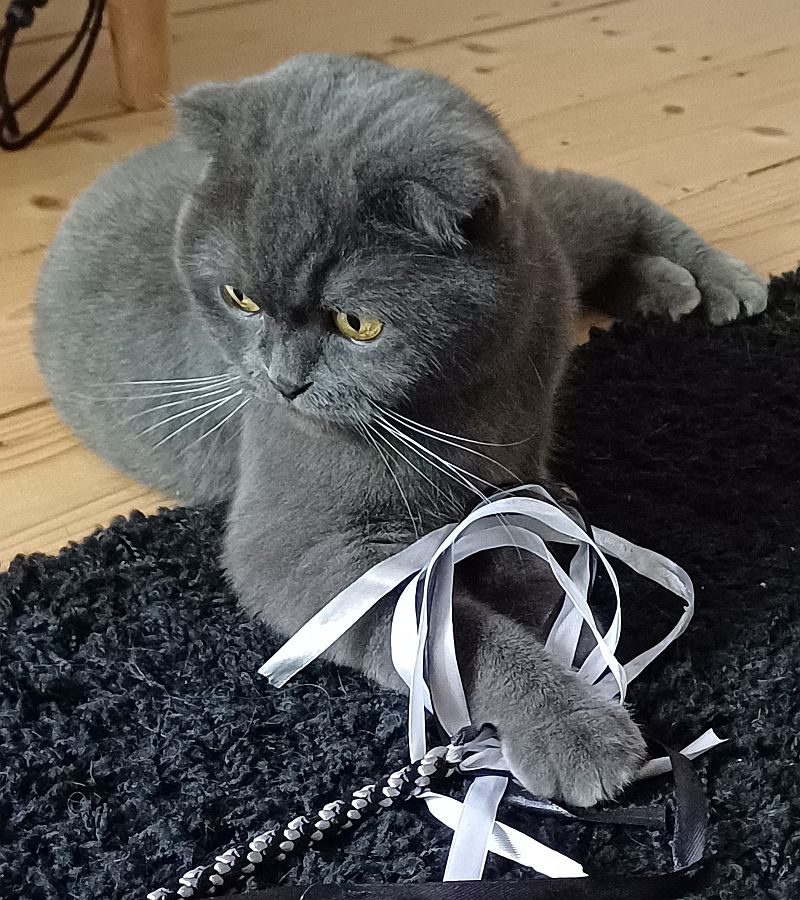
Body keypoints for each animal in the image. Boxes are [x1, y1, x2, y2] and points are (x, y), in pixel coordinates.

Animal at [34, 53, 767, 807]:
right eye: (239, 297)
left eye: (358, 324)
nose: (282, 382)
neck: (475, 385)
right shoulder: (298, 551)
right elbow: (458, 634)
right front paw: (574, 724)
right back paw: (669, 287)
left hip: (553, 234)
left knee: (611, 200)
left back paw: (715, 279)